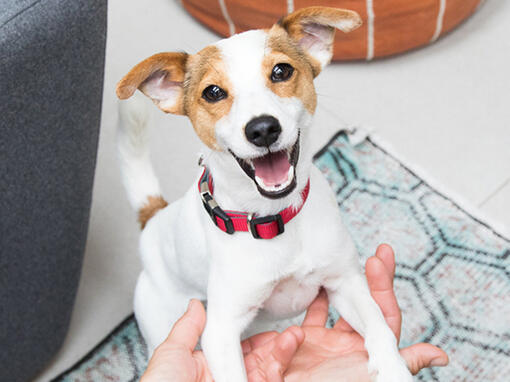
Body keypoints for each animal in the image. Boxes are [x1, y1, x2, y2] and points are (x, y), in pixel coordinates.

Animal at [115, 5, 410, 382]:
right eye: (213, 92)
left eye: (281, 71)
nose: (263, 129)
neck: (273, 219)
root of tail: (154, 217)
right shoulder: (220, 332)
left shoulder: (346, 282)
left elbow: (379, 328)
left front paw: (394, 368)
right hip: (162, 322)